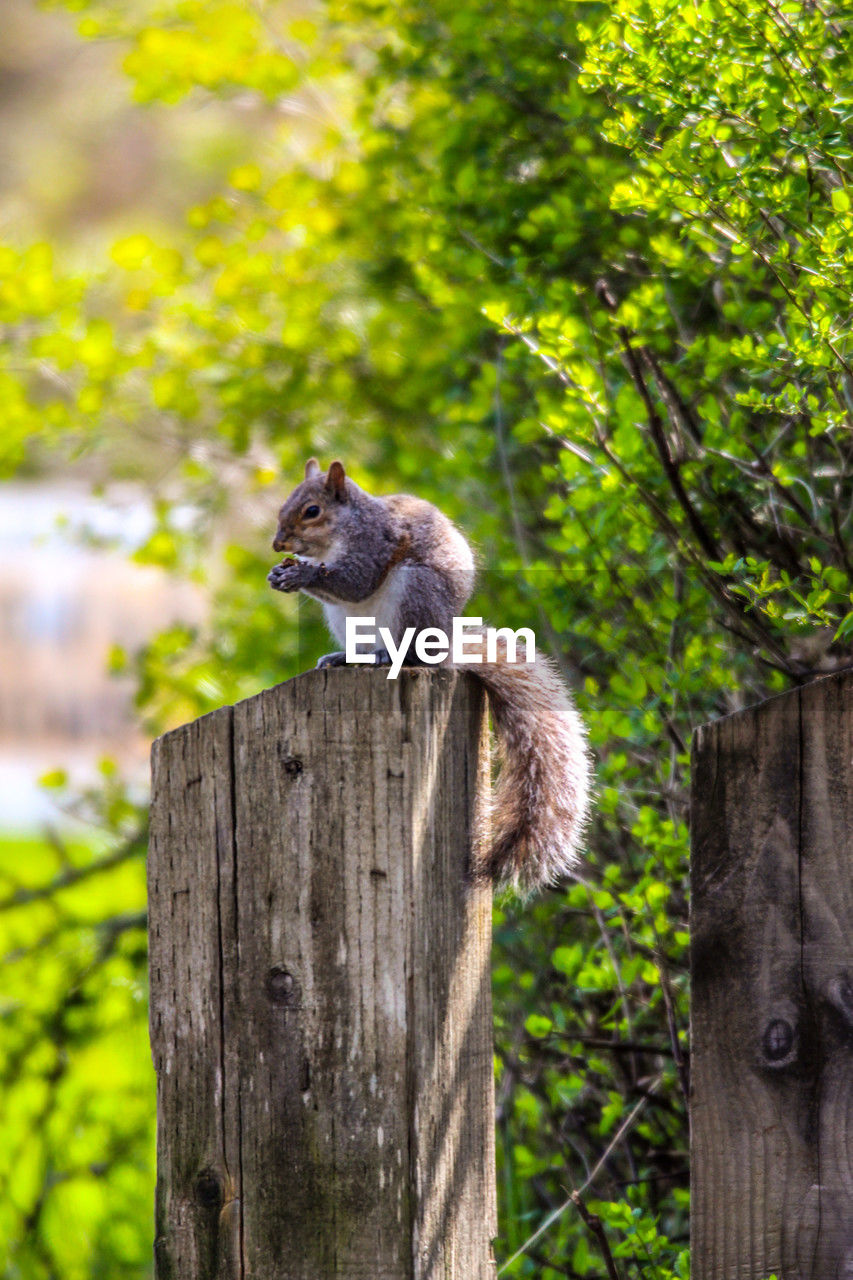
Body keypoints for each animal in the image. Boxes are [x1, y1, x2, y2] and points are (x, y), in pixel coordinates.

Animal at [268, 458, 589, 890]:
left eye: (312, 511)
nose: (278, 544)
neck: (337, 537)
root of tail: (445, 649)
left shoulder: (375, 545)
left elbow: (355, 582)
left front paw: (303, 575)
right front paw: (281, 574)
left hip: (414, 594)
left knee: (412, 654)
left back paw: (387, 657)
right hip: (346, 620)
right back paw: (346, 657)